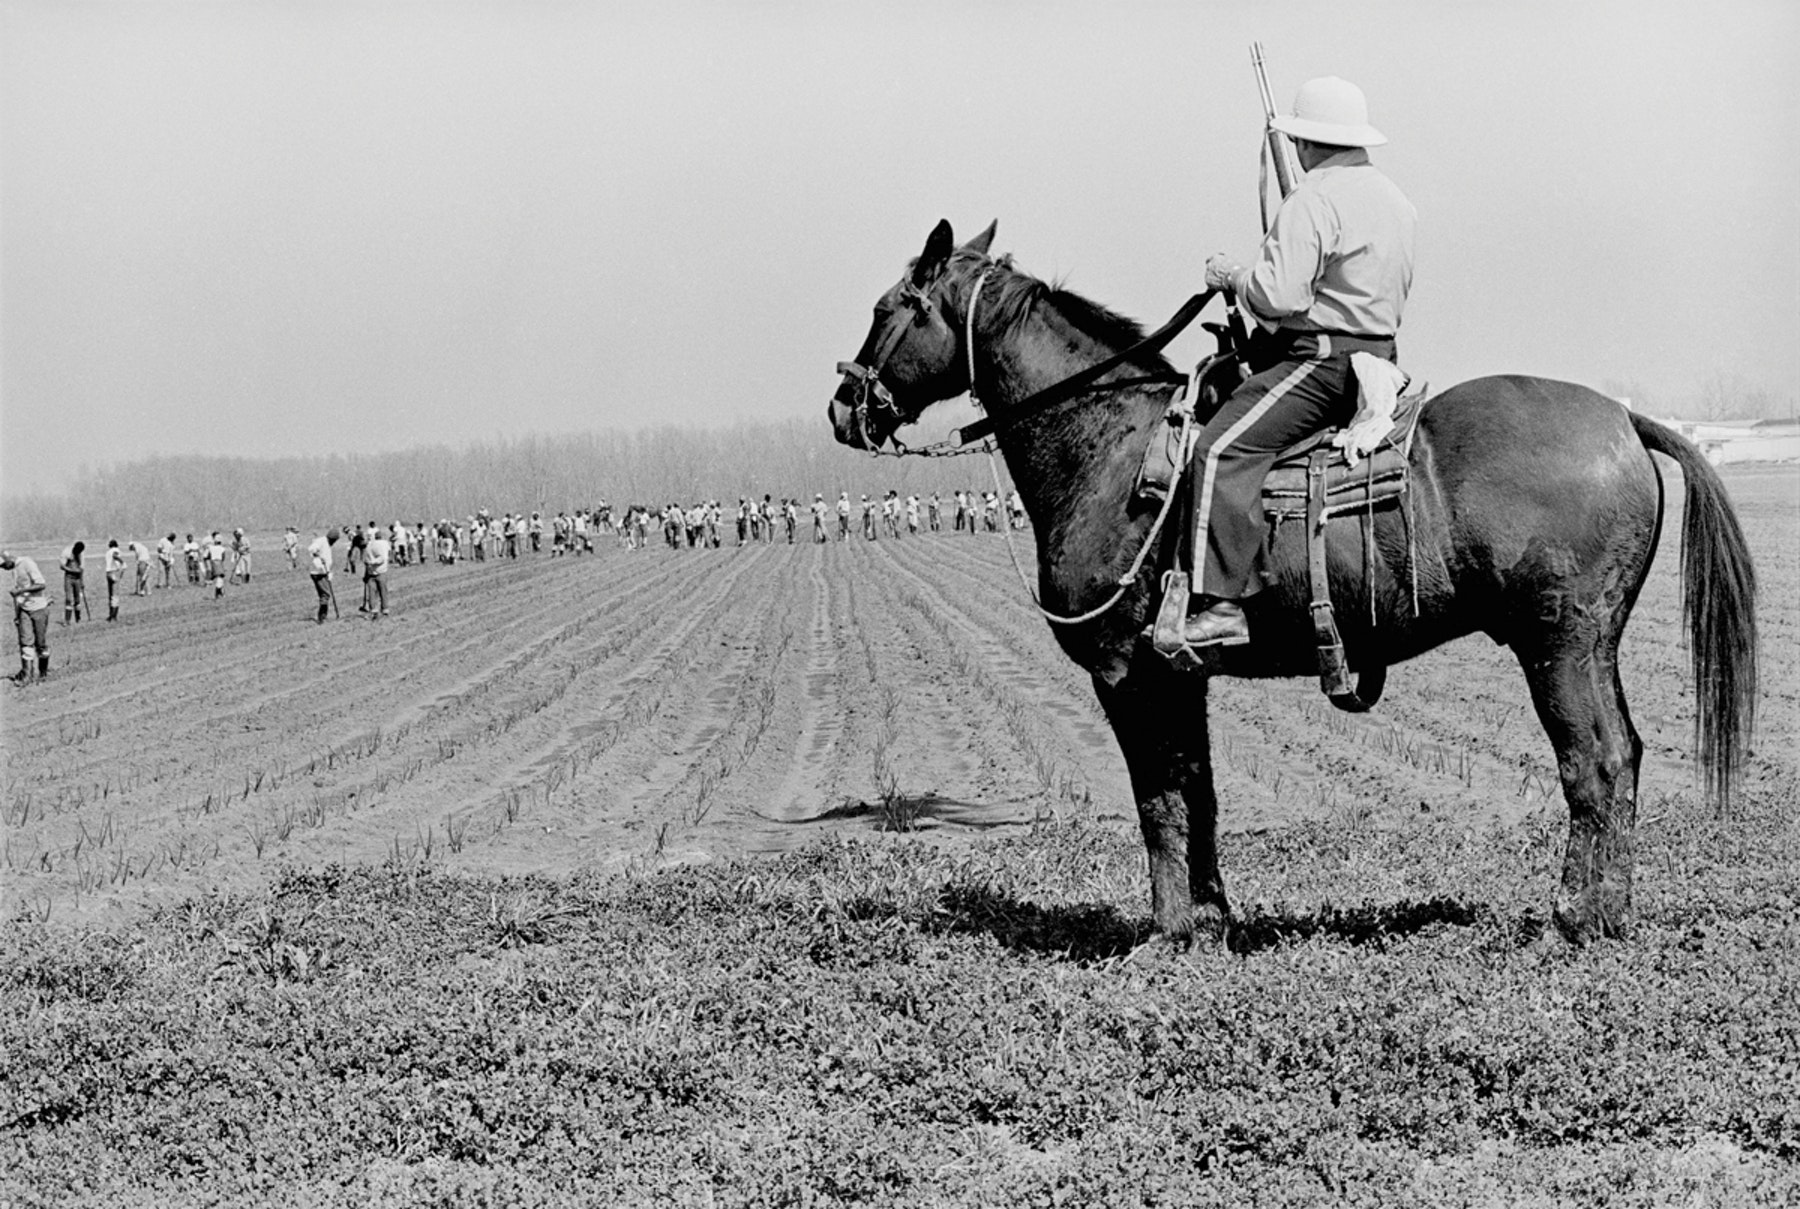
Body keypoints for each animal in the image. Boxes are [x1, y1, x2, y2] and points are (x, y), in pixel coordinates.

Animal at [828, 222, 1756, 949]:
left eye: (886, 308)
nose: (844, 407)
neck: (1113, 447)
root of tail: (1622, 418)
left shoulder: (1127, 674)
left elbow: (1157, 799)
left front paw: (1165, 934)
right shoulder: (1179, 675)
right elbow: (1198, 793)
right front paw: (1209, 922)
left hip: (1558, 646)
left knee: (1592, 763)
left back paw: (1571, 918)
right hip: (1590, 648)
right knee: (1624, 756)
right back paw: (1610, 914)